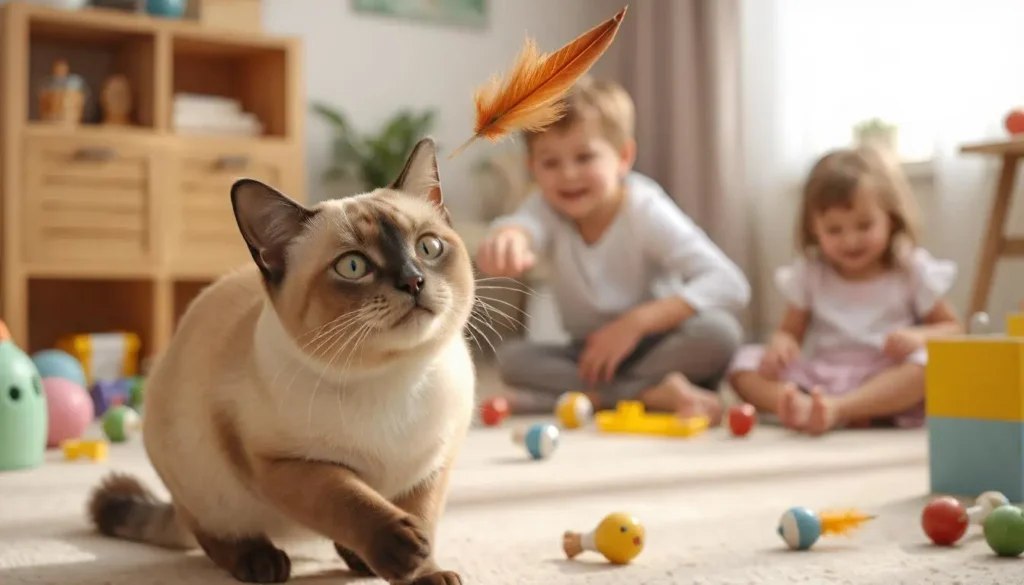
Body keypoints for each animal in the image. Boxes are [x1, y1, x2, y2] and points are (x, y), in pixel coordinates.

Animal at [87, 138, 475, 585]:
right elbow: (349, 499)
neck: (398, 377)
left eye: (428, 247)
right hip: (204, 484)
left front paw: (426, 572)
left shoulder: (431, 466)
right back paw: (262, 561)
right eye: (353, 266)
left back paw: (360, 561)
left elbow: (422, 517)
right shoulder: (286, 464)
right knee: (213, 535)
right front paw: (404, 549)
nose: (413, 281)